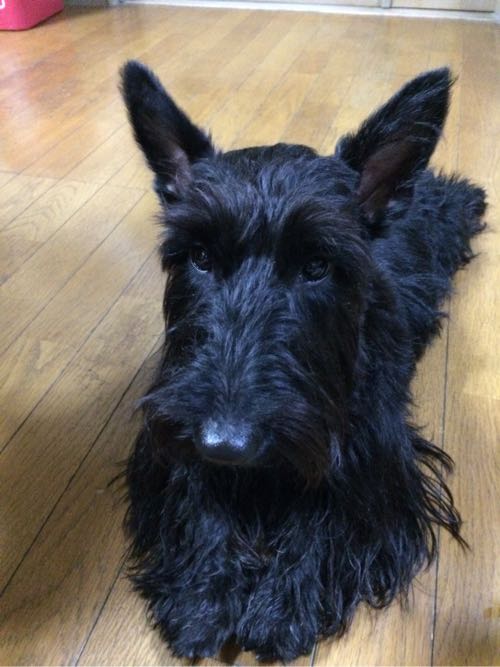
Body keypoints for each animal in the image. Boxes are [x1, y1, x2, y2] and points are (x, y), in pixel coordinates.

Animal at [120, 61, 486, 662]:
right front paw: (203, 595)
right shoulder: (172, 432)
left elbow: (330, 513)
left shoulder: (374, 459)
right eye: (198, 256)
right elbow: (196, 499)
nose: (227, 444)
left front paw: (285, 603)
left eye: (316, 265)